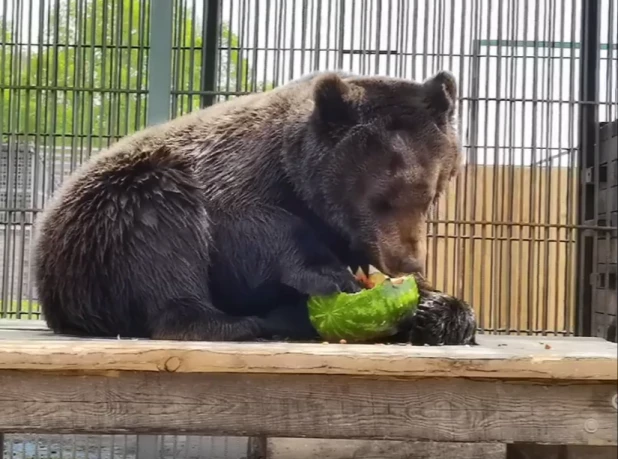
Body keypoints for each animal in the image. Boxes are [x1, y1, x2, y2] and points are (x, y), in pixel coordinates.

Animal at [32, 69, 476, 344]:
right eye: (381, 198)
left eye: (430, 193)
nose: (408, 261)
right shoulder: (239, 175)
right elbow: (248, 229)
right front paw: (330, 275)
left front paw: (436, 310)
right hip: (108, 222)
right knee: (159, 235)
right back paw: (241, 322)